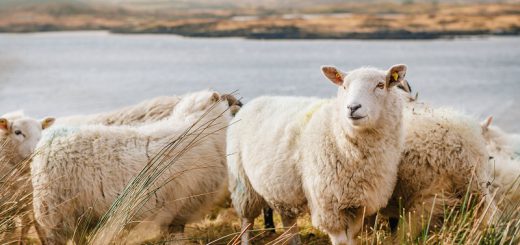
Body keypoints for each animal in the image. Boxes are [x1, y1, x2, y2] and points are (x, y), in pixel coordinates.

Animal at [226, 64, 406, 244]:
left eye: (380, 85)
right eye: (344, 86)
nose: (352, 108)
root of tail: (253, 102)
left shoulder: (358, 205)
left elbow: (351, 238)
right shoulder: (329, 206)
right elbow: (341, 241)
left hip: (281, 188)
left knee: (288, 220)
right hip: (243, 183)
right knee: (247, 221)